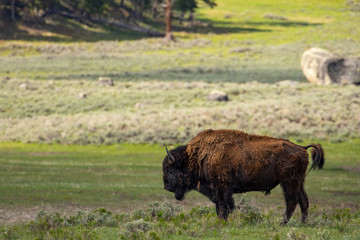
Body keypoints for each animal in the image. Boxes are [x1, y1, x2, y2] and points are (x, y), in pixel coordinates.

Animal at [162, 130, 322, 224]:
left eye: (169, 169)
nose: (166, 187)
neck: (196, 157)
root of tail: (302, 148)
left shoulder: (221, 187)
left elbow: (223, 206)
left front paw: (222, 222)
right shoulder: (220, 189)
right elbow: (221, 205)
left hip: (288, 182)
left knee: (292, 201)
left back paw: (282, 223)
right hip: (299, 182)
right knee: (303, 200)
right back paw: (302, 222)